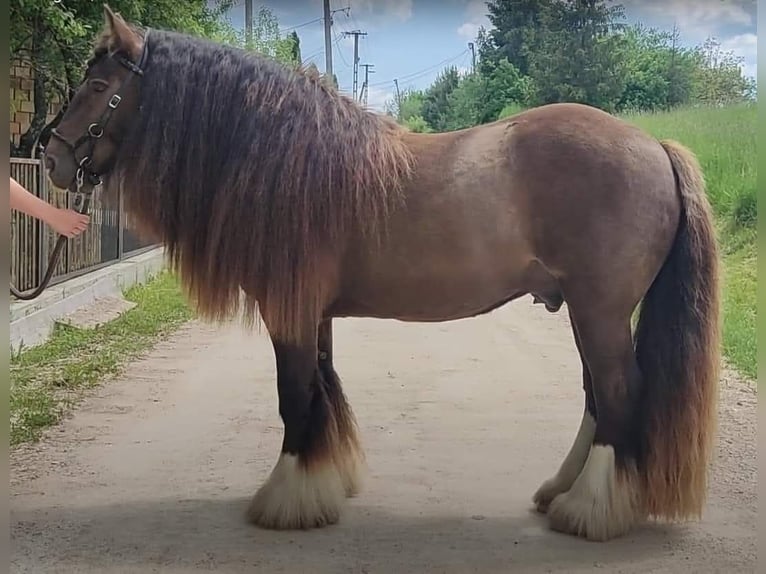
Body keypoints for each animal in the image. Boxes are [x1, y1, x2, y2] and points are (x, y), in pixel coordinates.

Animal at [46, 6, 720, 544]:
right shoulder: (312, 313)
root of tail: (654, 147)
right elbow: (321, 391)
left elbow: (295, 396)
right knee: (596, 398)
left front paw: (287, 501)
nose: (50, 158)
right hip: (586, 311)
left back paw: (590, 512)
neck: (286, 162)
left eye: (99, 84)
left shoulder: (289, 312)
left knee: (618, 393)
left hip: (599, 310)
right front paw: (324, 485)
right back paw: (562, 491)